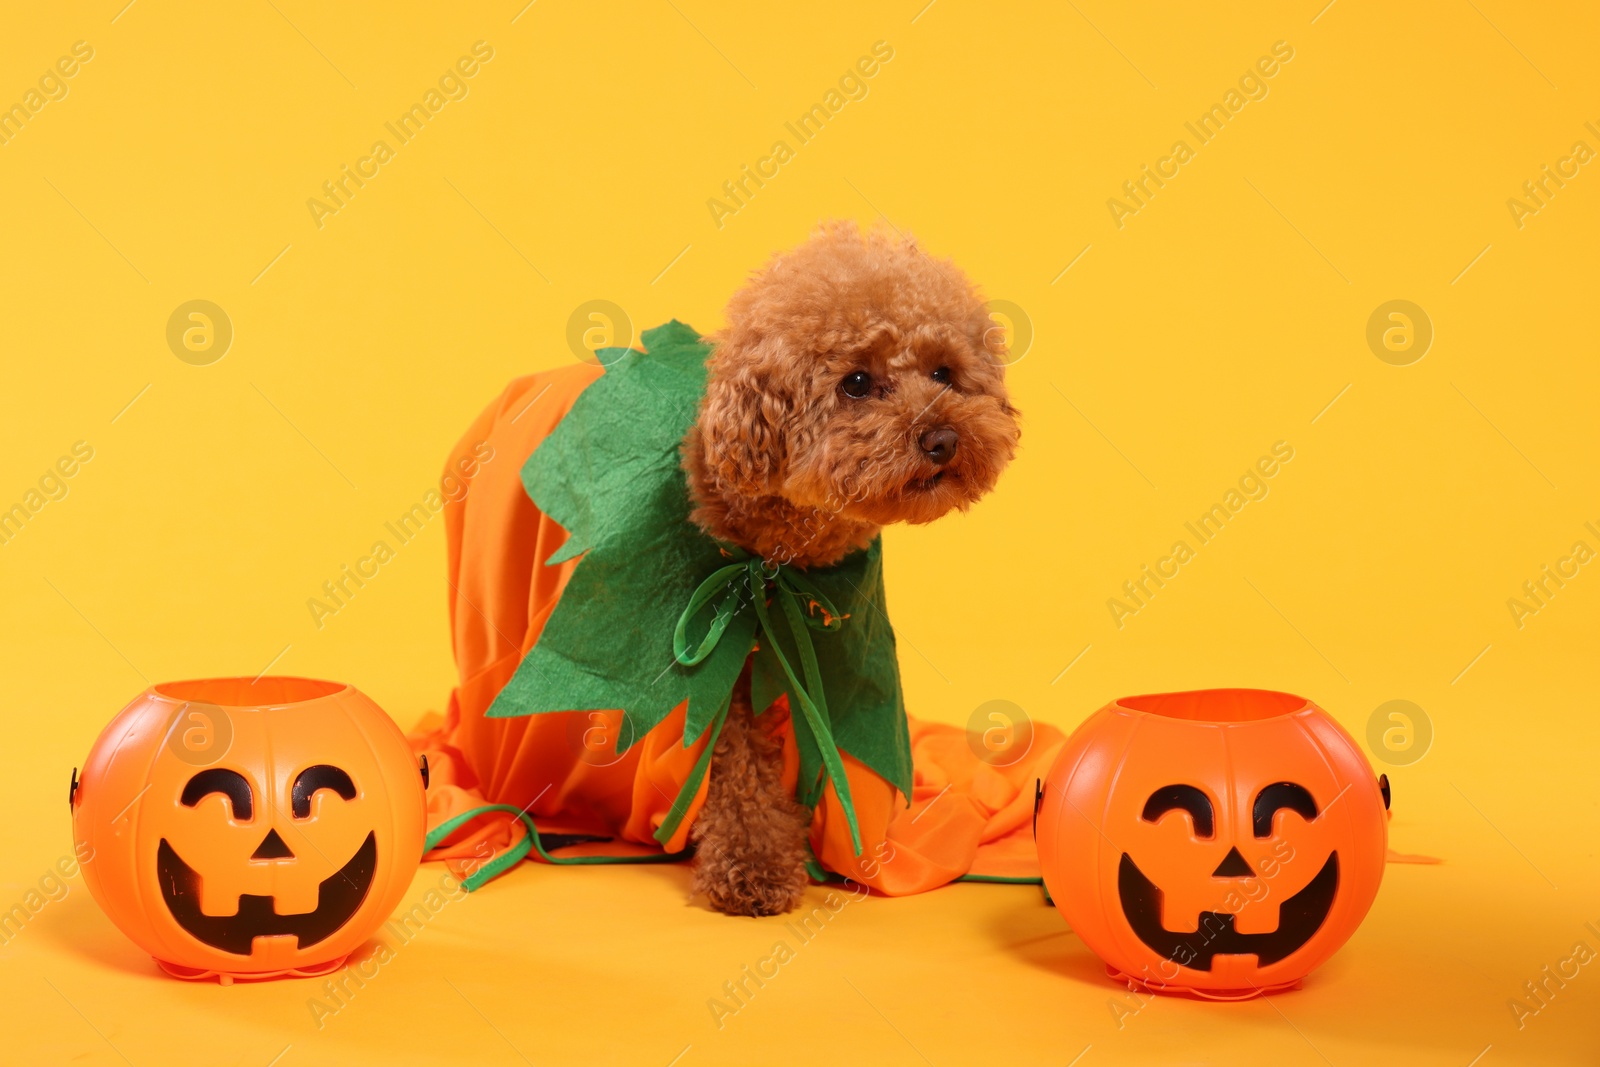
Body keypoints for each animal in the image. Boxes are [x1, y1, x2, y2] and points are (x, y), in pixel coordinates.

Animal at [681, 220, 1017, 915]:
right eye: (856, 383)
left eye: (943, 372)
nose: (943, 439)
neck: (778, 558)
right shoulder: (725, 663)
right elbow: (737, 768)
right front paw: (753, 869)